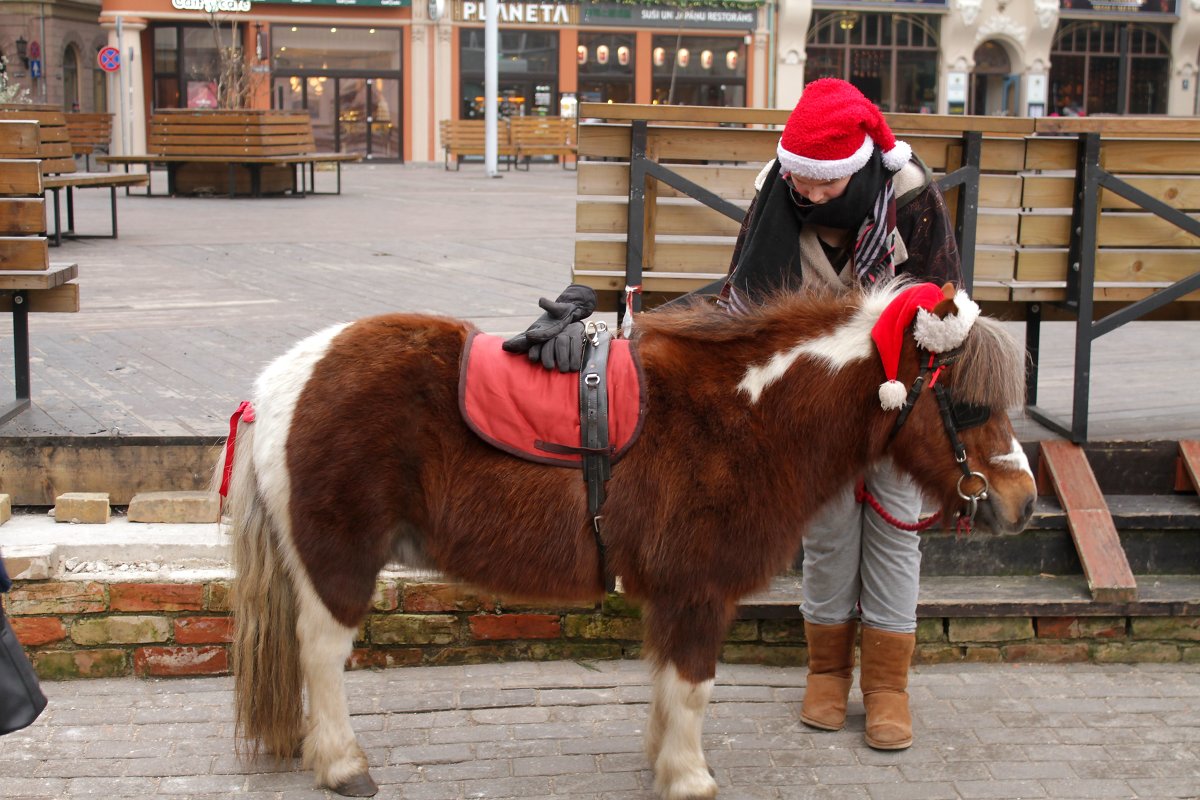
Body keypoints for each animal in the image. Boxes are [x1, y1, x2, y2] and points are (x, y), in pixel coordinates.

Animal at [220, 281, 1036, 796]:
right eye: (968, 403)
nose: (1023, 503)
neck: (744, 415)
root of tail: (282, 380)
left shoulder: (672, 594)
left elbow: (667, 683)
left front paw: (661, 761)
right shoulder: (699, 591)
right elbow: (694, 685)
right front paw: (690, 777)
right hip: (340, 561)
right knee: (320, 654)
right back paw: (341, 765)